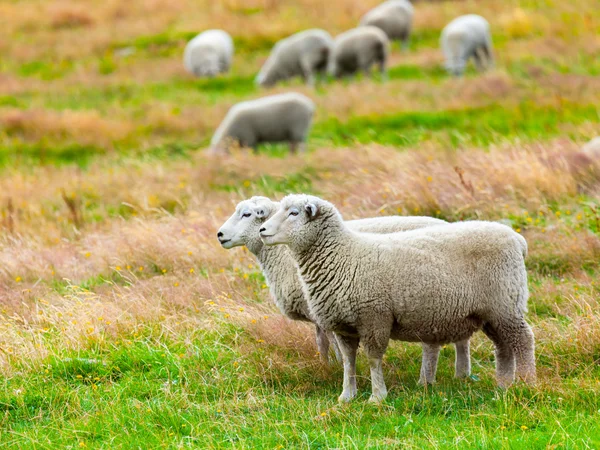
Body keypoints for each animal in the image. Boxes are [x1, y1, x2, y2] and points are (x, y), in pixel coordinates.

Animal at [217, 199, 474, 382]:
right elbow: (322, 342)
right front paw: (326, 366)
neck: (281, 254)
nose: (219, 235)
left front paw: (337, 367)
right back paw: (461, 375)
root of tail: (446, 224)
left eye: (247, 214)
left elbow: (331, 343)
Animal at [260, 195, 536, 402]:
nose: (262, 230)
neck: (343, 255)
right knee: (503, 347)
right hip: (490, 312)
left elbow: (373, 359)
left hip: (505, 302)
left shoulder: (374, 317)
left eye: (294, 213)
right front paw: (347, 396)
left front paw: (377, 397)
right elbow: (349, 361)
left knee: (523, 340)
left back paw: (527, 384)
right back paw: (503, 386)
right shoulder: (343, 325)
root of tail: (517, 239)